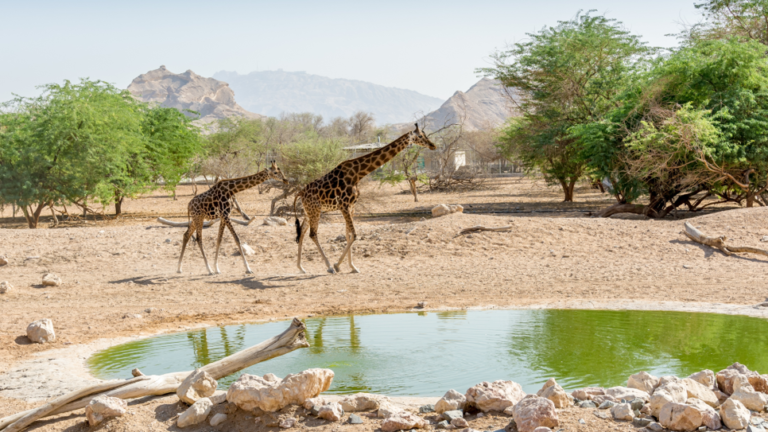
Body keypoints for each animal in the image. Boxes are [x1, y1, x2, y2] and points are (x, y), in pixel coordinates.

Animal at [292, 124, 436, 274]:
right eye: (420, 136)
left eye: (425, 135)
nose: (433, 145)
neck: (358, 174)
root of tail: (301, 192)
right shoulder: (344, 205)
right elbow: (354, 235)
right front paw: (337, 265)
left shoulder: (351, 206)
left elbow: (348, 234)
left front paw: (352, 266)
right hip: (315, 211)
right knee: (312, 234)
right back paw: (329, 267)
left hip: (309, 211)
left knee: (301, 233)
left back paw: (301, 268)